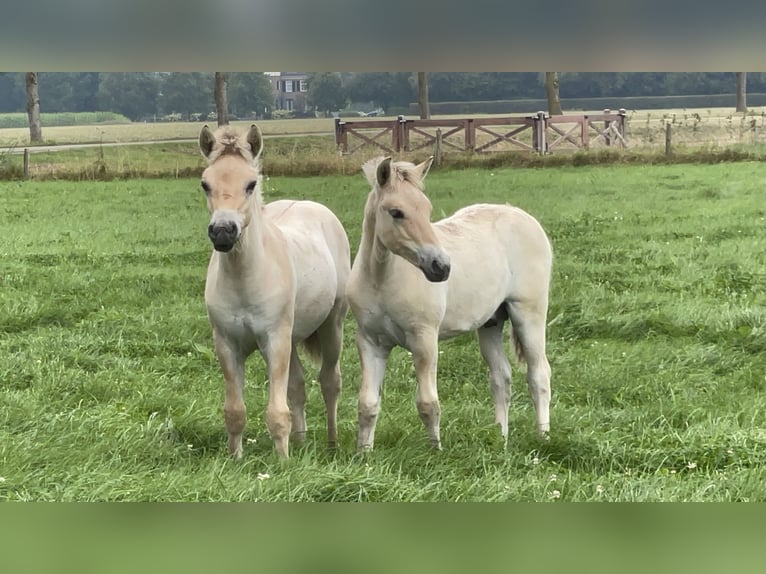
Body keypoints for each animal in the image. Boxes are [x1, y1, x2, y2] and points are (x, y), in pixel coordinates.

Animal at [200, 125, 352, 460]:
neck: (245, 279)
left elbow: (276, 412)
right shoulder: (227, 344)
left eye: (251, 183)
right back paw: (301, 442)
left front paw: (282, 463)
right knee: (298, 386)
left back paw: (332, 444)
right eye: (205, 183)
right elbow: (235, 411)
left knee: (330, 382)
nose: (223, 232)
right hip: (294, 337)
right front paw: (236, 459)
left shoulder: (275, 340)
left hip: (331, 325)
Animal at [352, 159, 556, 454]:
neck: (381, 280)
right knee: (501, 378)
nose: (441, 267)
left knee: (539, 375)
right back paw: (500, 438)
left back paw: (543, 437)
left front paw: (435, 452)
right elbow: (367, 404)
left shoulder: (424, 339)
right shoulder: (370, 342)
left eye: (427, 209)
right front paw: (363, 455)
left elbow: (428, 403)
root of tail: (524, 217)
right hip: (491, 322)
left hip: (528, 315)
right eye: (396, 212)